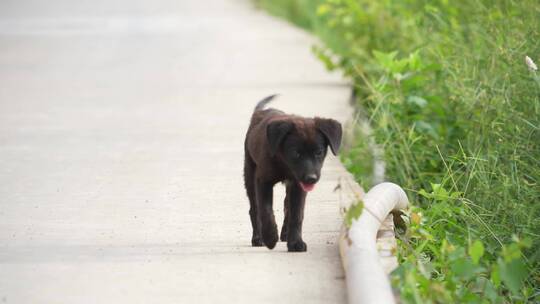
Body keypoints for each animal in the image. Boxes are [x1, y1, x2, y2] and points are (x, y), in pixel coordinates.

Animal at [244, 95, 342, 252]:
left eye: (319, 152)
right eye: (296, 153)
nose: (311, 179)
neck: (284, 164)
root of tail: (260, 112)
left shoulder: (298, 186)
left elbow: (296, 214)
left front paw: (296, 242)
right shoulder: (263, 181)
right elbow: (265, 210)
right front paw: (270, 237)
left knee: (286, 207)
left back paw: (285, 234)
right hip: (249, 174)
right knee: (254, 209)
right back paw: (258, 238)